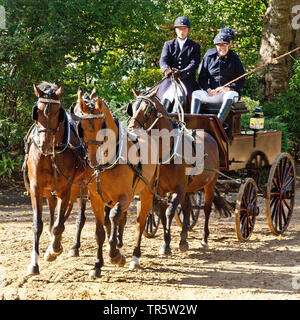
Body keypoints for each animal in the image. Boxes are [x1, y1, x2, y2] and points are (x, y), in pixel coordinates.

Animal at [24, 82, 88, 276]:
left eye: (57, 112)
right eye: (37, 111)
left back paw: (71, 246)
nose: (45, 144)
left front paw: (55, 249)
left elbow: (60, 223)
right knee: (55, 212)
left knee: (77, 216)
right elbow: (38, 224)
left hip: (82, 186)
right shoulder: (36, 188)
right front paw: (34, 264)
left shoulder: (66, 188)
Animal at [76, 93, 158, 278]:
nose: (93, 160)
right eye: (81, 126)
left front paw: (115, 255)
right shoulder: (96, 199)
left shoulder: (126, 197)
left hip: (147, 193)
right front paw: (97, 265)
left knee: (140, 222)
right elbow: (100, 231)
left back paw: (135, 257)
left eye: (102, 125)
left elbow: (114, 216)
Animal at [127, 88, 219, 252]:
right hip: (189, 188)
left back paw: (204, 239)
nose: (131, 130)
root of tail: (209, 136)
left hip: (210, 184)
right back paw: (184, 239)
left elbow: (170, 212)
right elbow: (163, 214)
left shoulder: (179, 188)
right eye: (132, 108)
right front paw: (166, 243)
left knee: (207, 208)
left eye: (147, 109)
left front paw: (168, 244)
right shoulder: (161, 190)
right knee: (187, 208)